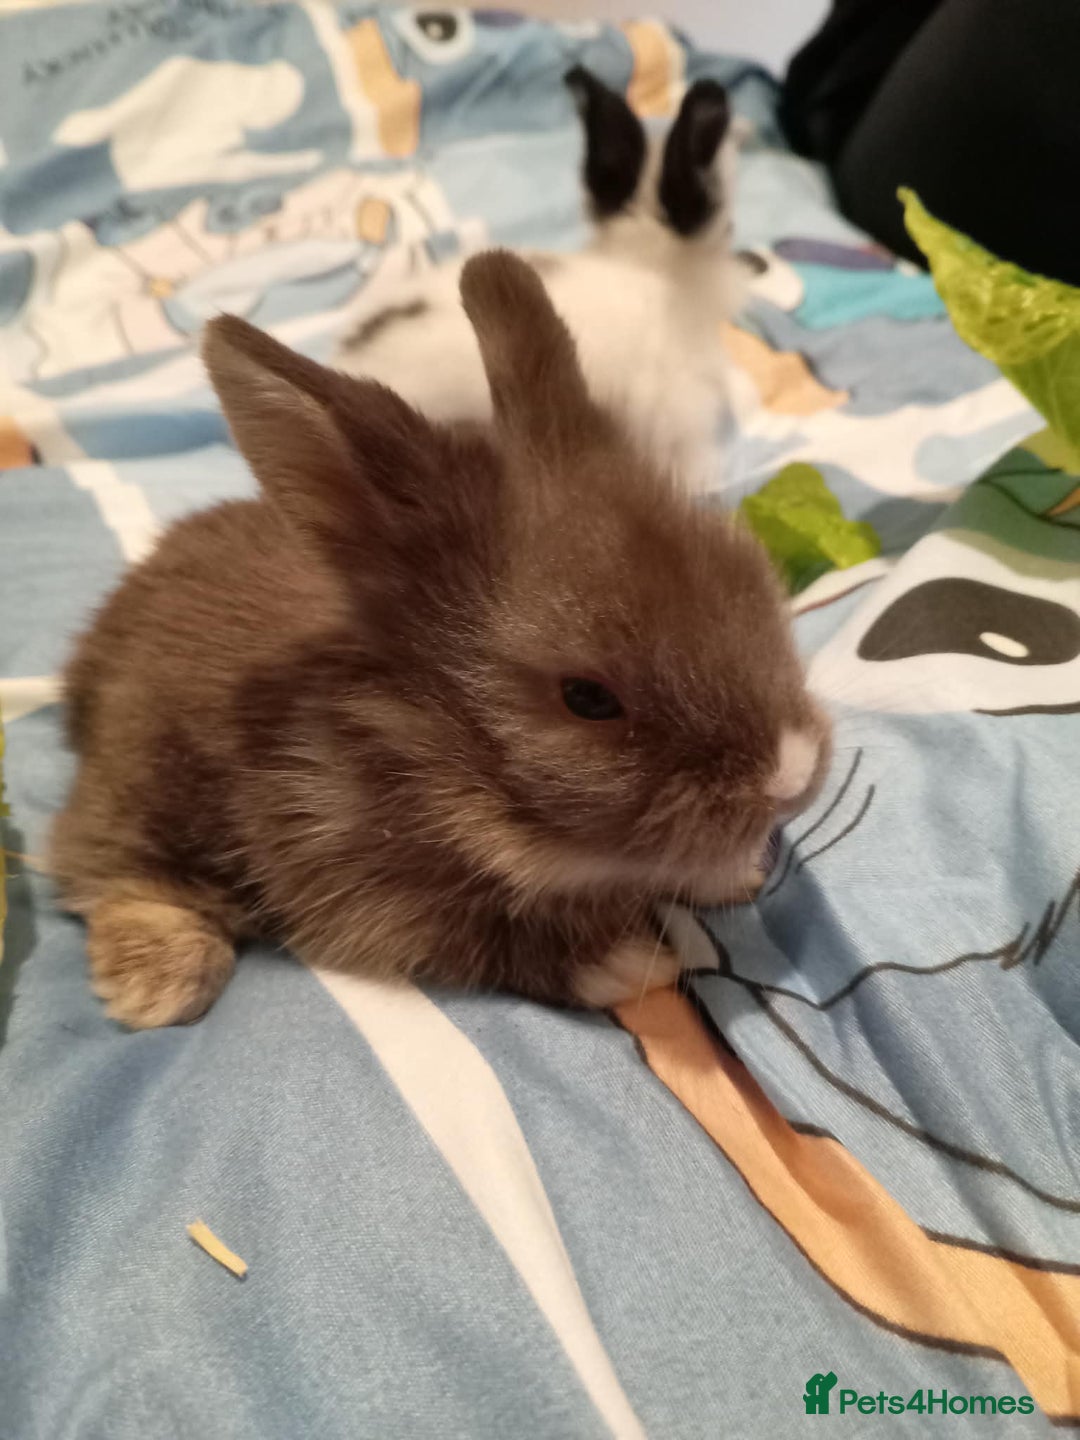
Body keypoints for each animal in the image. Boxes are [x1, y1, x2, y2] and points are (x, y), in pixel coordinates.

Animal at [50, 250, 830, 1030]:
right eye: (586, 698)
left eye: (750, 576)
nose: (790, 778)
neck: (416, 741)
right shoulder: (357, 879)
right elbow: (493, 935)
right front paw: (631, 962)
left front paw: (737, 875)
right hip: (147, 781)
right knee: (102, 862)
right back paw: (160, 987)